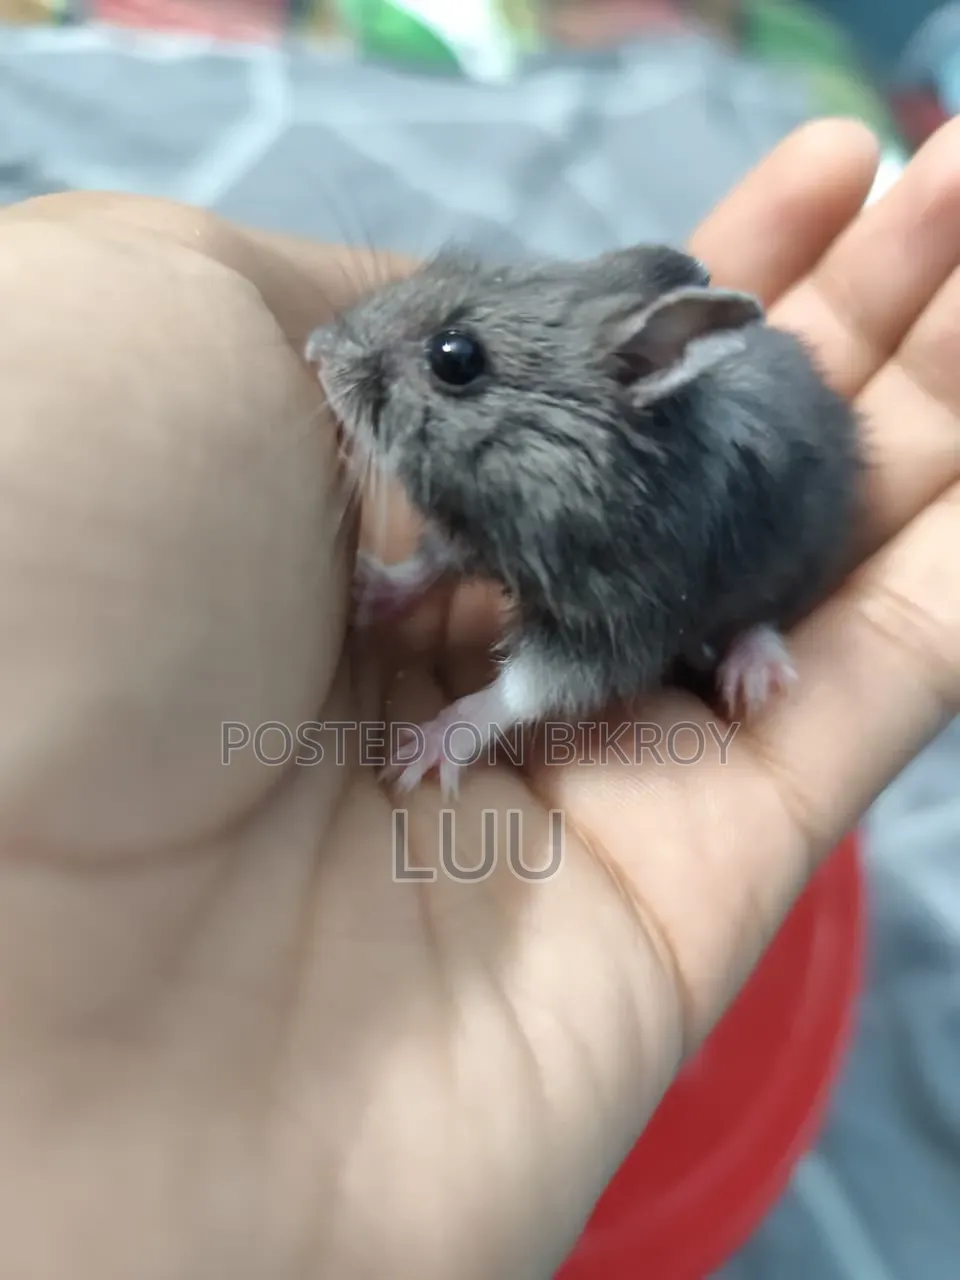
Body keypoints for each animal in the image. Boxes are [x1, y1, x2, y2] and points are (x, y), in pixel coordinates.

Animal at [305, 243, 863, 797]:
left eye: (455, 357)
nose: (314, 350)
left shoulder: (617, 626)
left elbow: (518, 691)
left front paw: (414, 757)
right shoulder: (472, 532)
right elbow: (427, 564)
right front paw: (364, 589)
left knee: (769, 613)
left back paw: (754, 673)